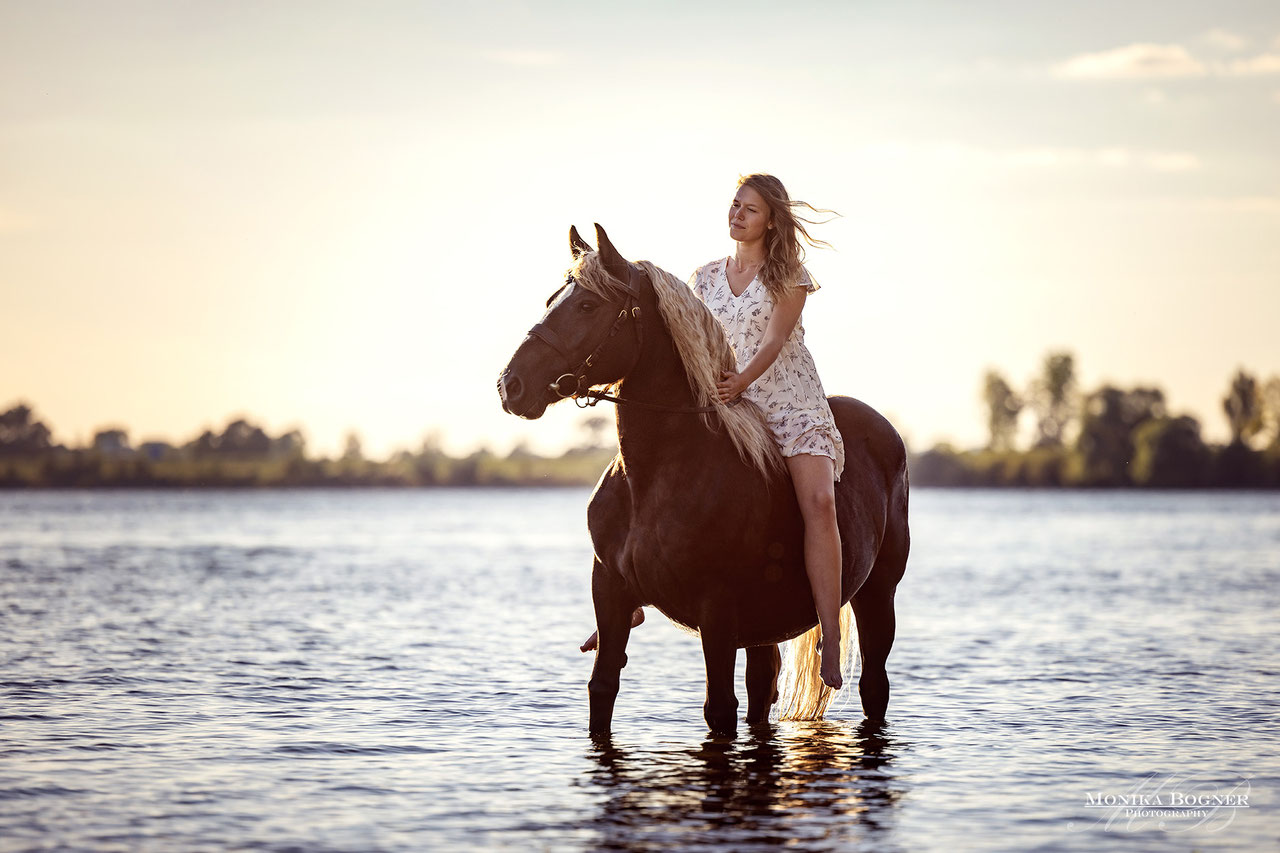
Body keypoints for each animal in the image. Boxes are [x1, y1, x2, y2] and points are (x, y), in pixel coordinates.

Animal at [498, 224, 909, 735]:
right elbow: (603, 689)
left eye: (589, 305)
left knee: (873, 685)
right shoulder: (609, 593)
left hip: (878, 595)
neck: (654, 479)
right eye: (554, 298)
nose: (511, 385)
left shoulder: (717, 615)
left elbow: (719, 708)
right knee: (763, 687)